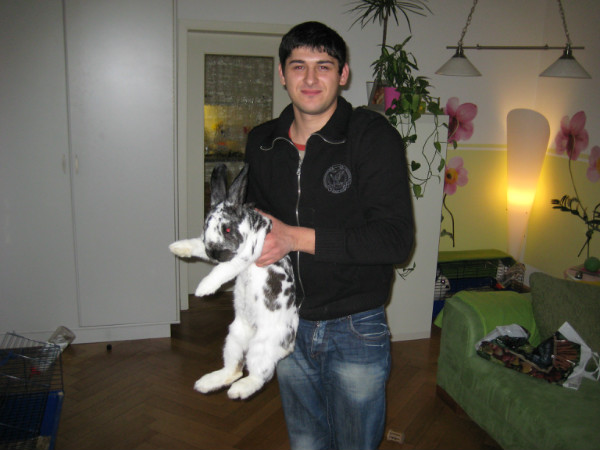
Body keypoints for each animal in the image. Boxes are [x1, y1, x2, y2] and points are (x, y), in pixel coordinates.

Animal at [169, 163, 298, 400]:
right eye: (205, 227)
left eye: (227, 229)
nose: (213, 253)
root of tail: (288, 345)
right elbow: (197, 246)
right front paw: (177, 247)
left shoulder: (246, 255)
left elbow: (223, 270)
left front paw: (203, 289)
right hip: (233, 338)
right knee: (234, 369)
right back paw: (207, 383)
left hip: (261, 347)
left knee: (258, 376)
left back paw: (239, 390)